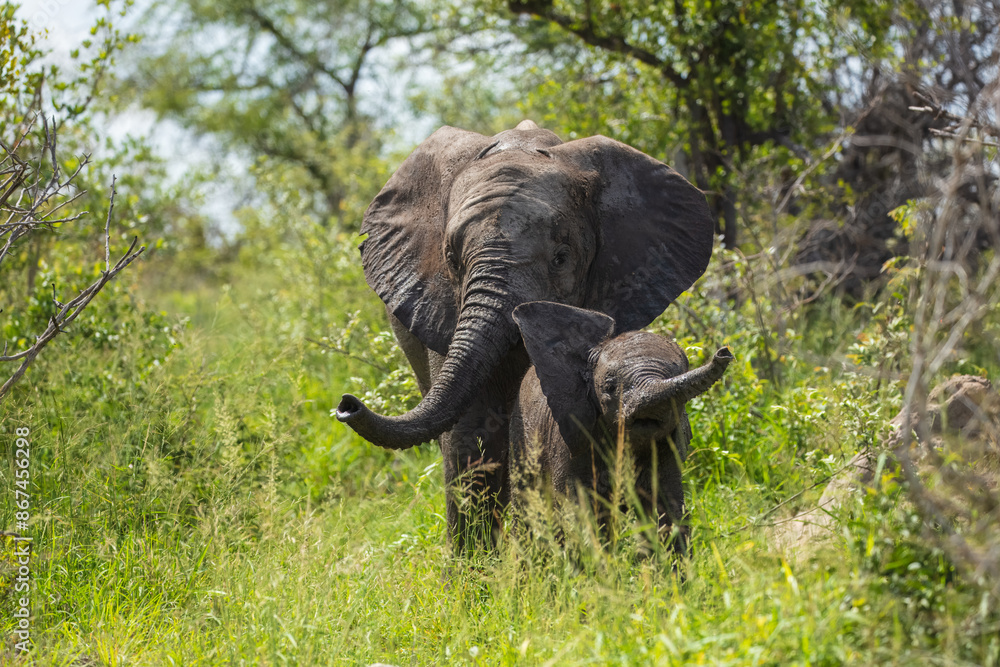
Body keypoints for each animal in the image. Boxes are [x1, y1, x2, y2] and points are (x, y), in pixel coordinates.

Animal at [509, 301, 734, 556]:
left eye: (680, 382)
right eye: (609, 387)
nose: (724, 352)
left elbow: (667, 509)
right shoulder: (572, 436)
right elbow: (580, 510)